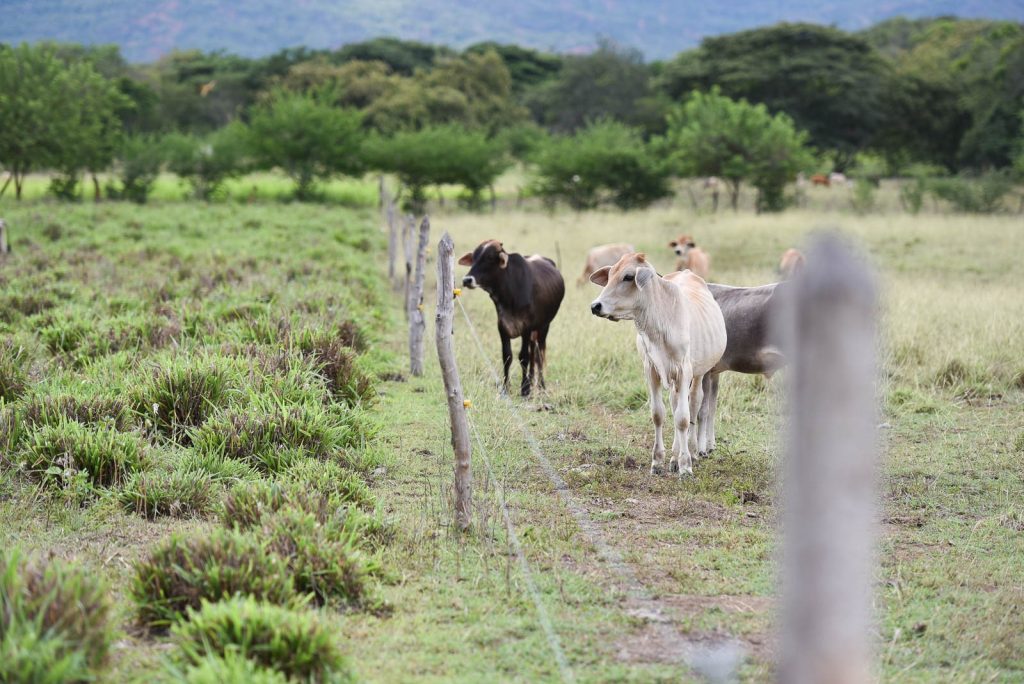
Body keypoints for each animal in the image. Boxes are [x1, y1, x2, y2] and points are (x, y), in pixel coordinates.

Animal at [460, 239, 565, 395]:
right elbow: (507, 356)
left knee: (539, 354)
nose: (467, 280)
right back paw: (532, 380)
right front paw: (506, 388)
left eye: (489, 258)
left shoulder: (526, 328)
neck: (509, 294)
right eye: (473, 257)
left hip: (544, 327)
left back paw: (540, 386)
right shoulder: (502, 327)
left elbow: (523, 356)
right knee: (533, 353)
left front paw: (525, 389)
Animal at [589, 253, 724, 479]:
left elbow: (683, 418)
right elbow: (658, 414)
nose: (595, 306)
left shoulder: (684, 371)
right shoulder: (651, 370)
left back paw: (692, 451)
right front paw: (659, 461)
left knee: (694, 404)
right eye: (609, 275)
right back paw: (674, 457)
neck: (658, 326)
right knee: (675, 403)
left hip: (699, 373)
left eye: (628, 277)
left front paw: (686, 465)